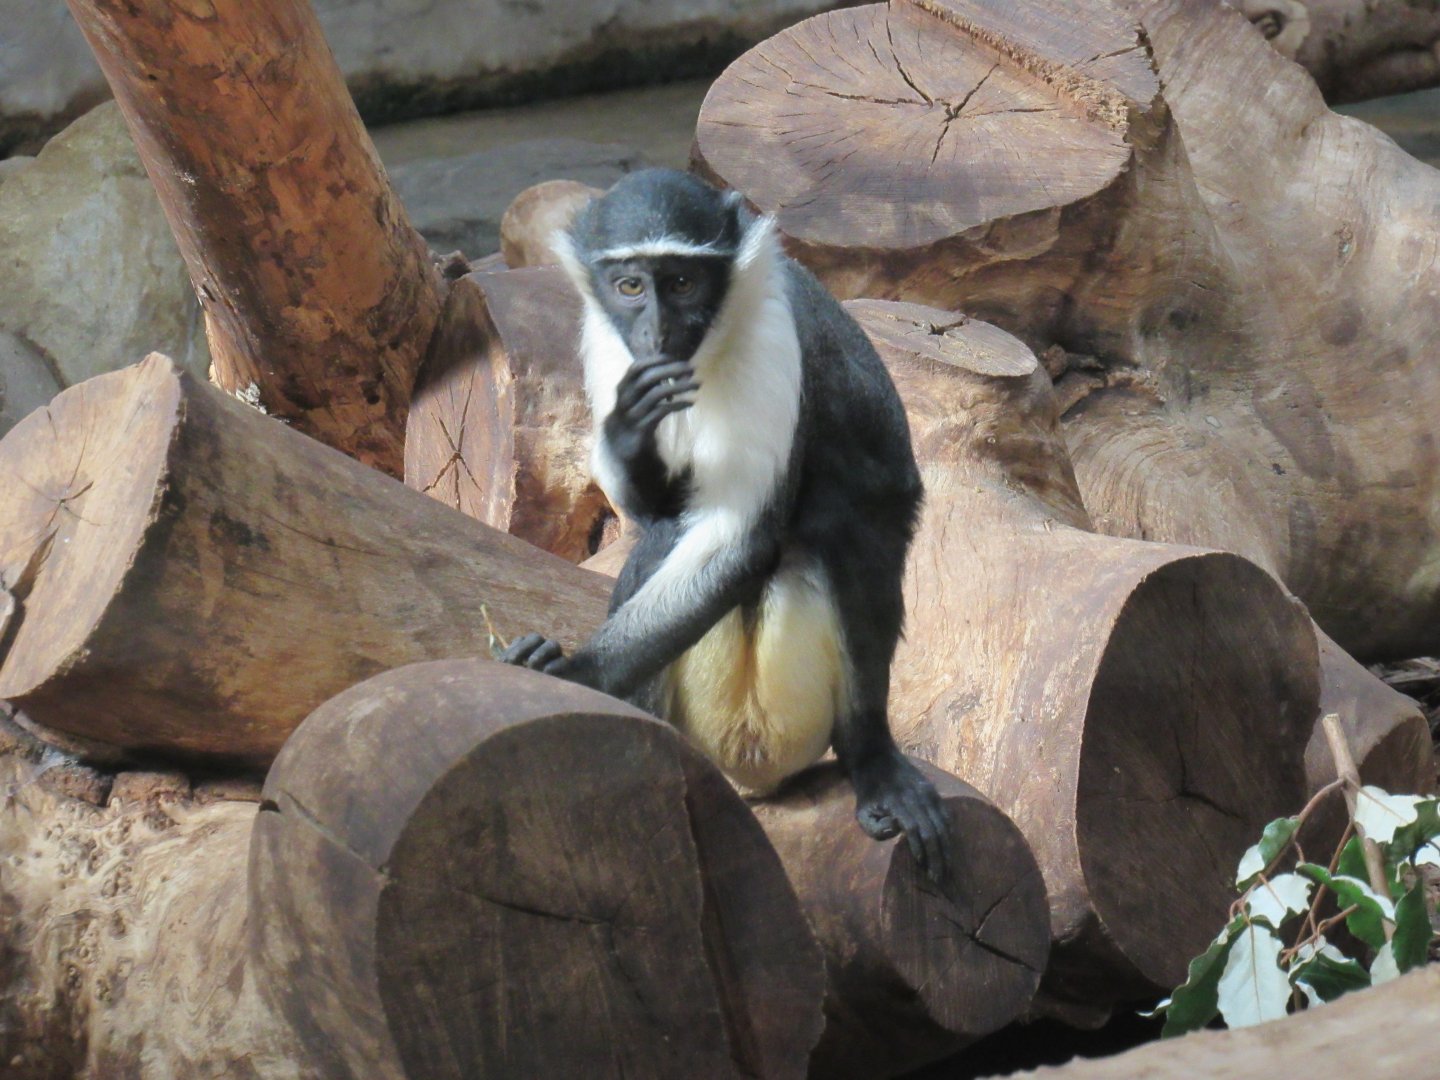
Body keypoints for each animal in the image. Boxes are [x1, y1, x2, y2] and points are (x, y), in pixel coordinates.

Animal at [500, 168, 949, 880]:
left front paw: (571, 675)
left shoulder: (773, 334)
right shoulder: (607, 341)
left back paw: (872, 759)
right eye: (630, 286)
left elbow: (741, 537)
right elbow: (658, 510)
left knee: (846, 541)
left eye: (683, 282)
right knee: (662, 537)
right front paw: (628, 437)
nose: (657, 330)